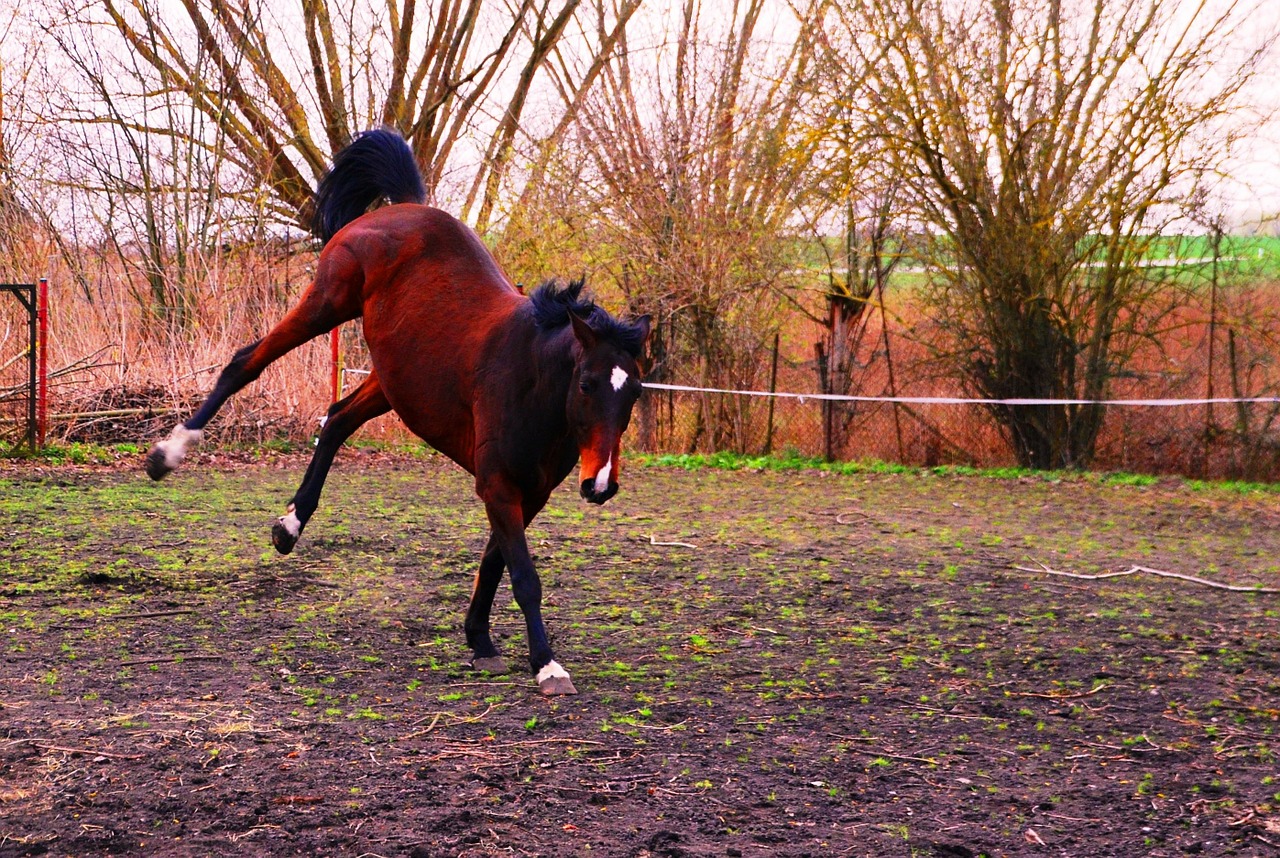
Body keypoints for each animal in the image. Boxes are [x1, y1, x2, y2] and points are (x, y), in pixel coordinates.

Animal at [146, 131, 655, 701]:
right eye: (588, 384)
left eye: (635, 391)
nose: (601, 484)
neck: (533, 381)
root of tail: (403, 208)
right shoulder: (499, 484)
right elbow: (523, 575)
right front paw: (546, 665)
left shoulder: (531, 492)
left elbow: (494, 561)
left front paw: (479, 639)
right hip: (328, 303)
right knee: (244, 364)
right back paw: (168, 455)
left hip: (392, 380)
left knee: (337, 419)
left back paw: (290, 526)